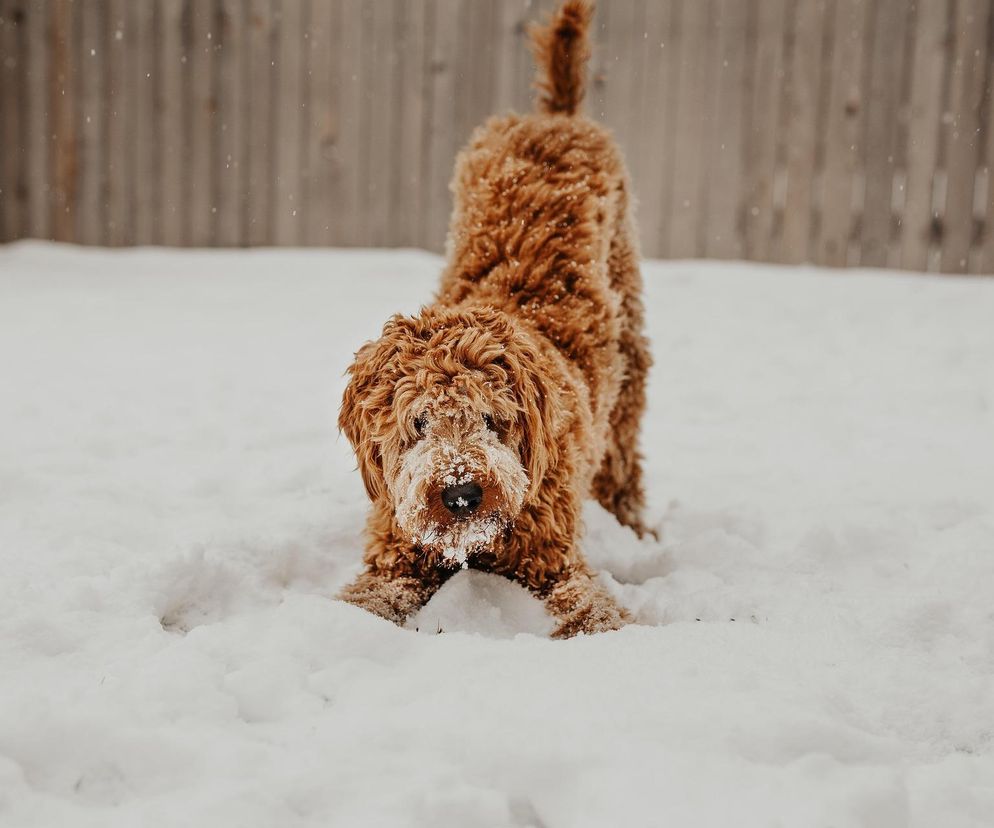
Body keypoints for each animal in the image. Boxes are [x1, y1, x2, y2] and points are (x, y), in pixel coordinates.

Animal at [340, 0, 652, 640]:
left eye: (491, 418)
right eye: (418, 423)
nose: (461, 493)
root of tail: (553, 117)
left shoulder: (554, 557)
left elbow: (591, 607)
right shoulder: (395, 551)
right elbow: (370, 596)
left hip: (630, 344)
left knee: (624, 451)